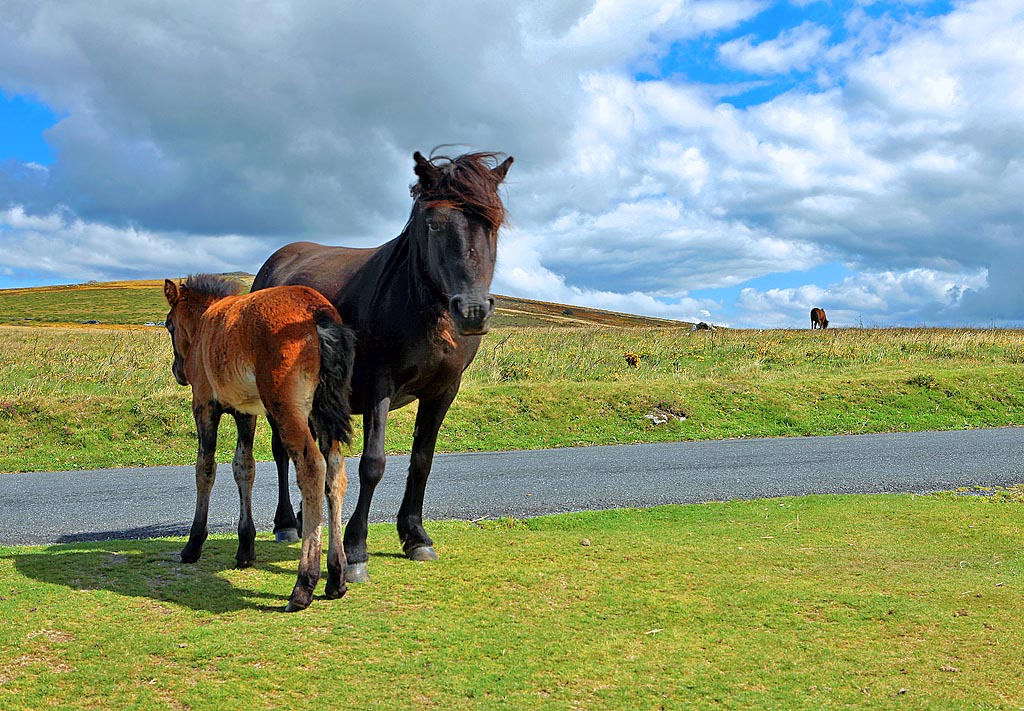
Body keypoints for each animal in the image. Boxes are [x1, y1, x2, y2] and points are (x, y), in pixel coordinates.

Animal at [163, 274, 356, 614]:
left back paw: (304, 584)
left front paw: (193, 544)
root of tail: (318, 313)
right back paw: (336, 576)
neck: (205, 323)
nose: (178, 372)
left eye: (169, 325)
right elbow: (244, 468)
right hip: (323, 412)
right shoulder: (246, 412)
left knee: (311, 467)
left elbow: (205, 468)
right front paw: (245, 546)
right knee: (335, 471)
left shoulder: (204, 404)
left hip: (288, 408)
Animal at [252, 150, 516, 586]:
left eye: (492, 224)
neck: (420, 306)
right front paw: (356, 551)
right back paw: (287, 523)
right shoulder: (380, 387)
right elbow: (372, 464)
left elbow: (421, 461)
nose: (473, 311)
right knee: (282, 451)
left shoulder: (443, 392)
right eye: (434, 224)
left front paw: (415, 536)